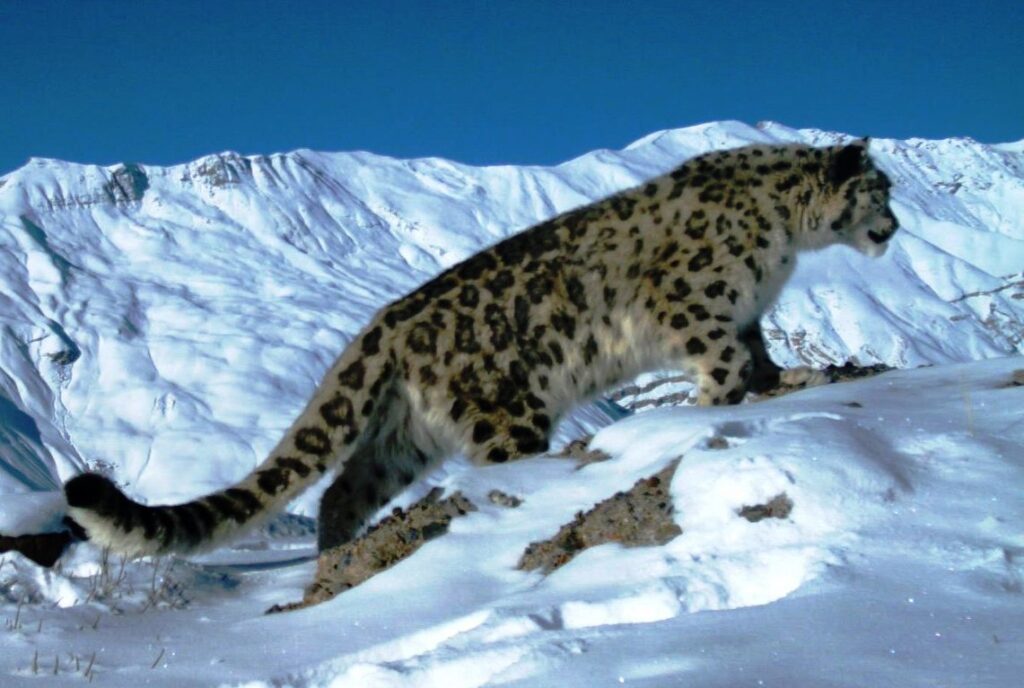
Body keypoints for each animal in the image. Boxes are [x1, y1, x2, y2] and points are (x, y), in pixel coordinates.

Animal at [63, 138, 898, 565]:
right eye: (881, 190)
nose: (894, 229)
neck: (785, 239)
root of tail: (382, 326)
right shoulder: (691, 301)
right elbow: (723, 366)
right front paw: (714, 409)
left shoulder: (745, 313)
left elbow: (757, 358)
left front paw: (798, 377)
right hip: (506, 410)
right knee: (489, 468)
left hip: (404, 437)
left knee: (342, 490)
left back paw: (335, 554)